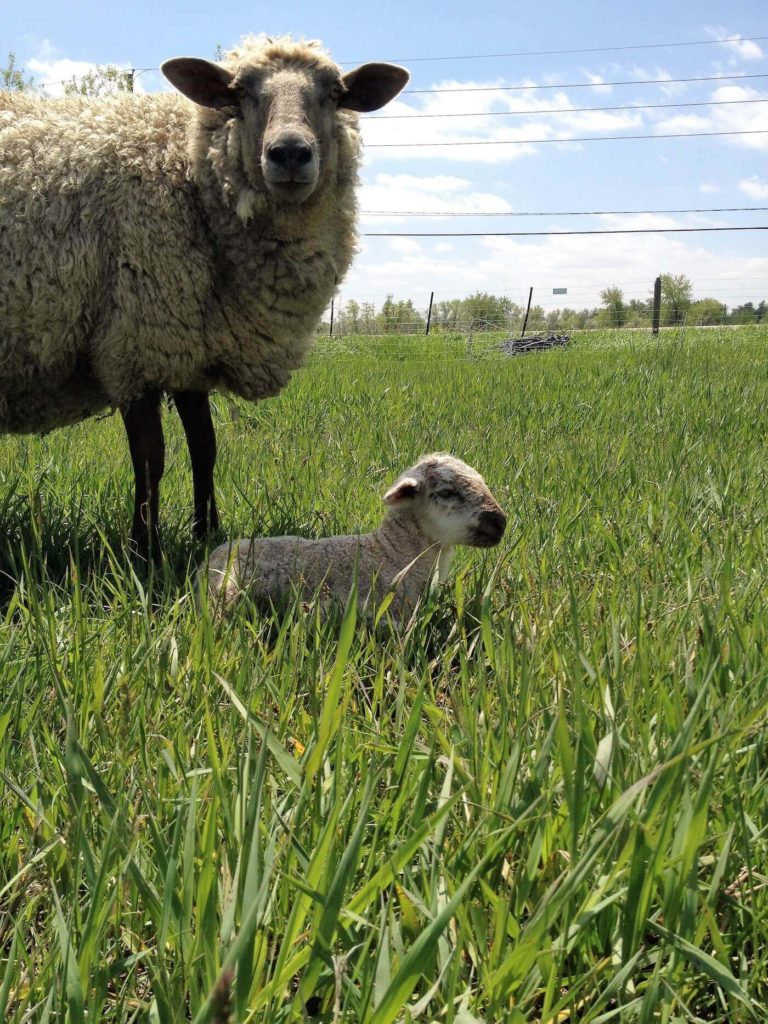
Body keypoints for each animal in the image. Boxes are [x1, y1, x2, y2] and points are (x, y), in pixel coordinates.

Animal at [0, 36, 411, 557]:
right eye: (239, 93)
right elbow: (151, 456)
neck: (185, 172)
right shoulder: (137, 340)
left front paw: (206, 533)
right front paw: (144, 548)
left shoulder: (191, 345)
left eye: (335, 94)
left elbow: (205, 447)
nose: (290, 154)